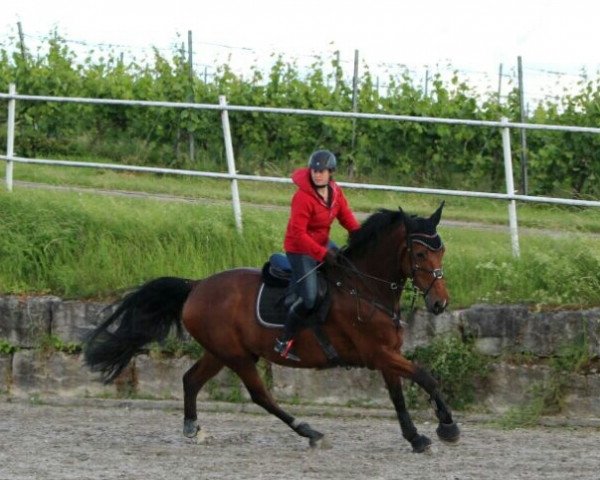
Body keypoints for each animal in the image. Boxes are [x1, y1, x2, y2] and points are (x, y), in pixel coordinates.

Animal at [83, 202, 460, 454]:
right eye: (420, 255)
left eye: (442, 252)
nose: (440, 303)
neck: (365, 288)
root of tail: (196, 286)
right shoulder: (378, 353)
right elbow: (426, 377)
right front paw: (448, 427)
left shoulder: (387, 354)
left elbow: (398, 396)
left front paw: (415, 437)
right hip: (237, 356)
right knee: (261, 396)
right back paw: (309, 432)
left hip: (220, 352)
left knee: (191, 380)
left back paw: (193, 428)